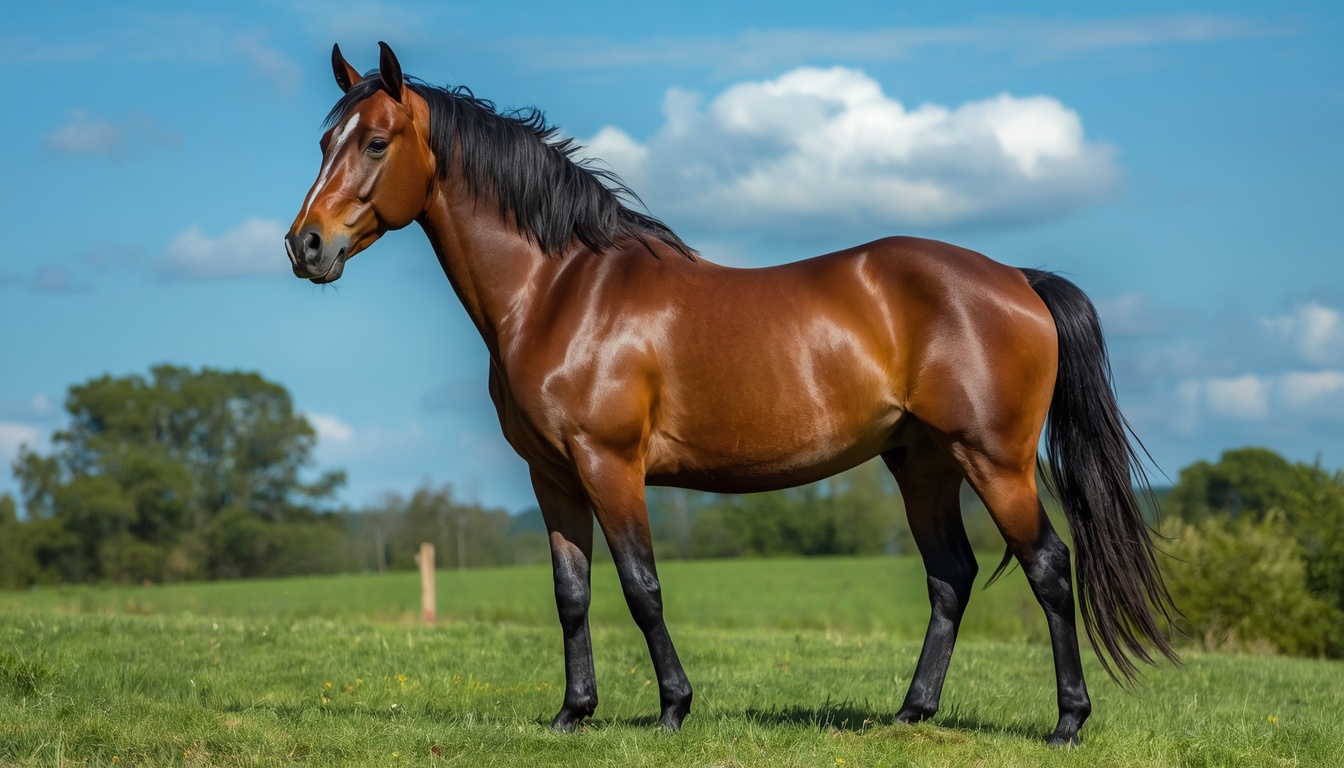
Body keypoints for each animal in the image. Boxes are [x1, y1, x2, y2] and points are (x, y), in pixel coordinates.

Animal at [286, 42, 1177, 746]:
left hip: (994, 462)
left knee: (1049, 567)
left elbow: (641, 588)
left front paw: (673, 709)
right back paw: (910, 713)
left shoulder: (611, 466)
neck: (560, 290)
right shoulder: (553, 475)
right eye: (323, 140)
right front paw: (573, 714)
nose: (305, 246)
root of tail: (1016, 279)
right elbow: (572, 594)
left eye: (375, 141)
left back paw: (1068, 722)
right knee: (950, 576)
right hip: (922, 463)